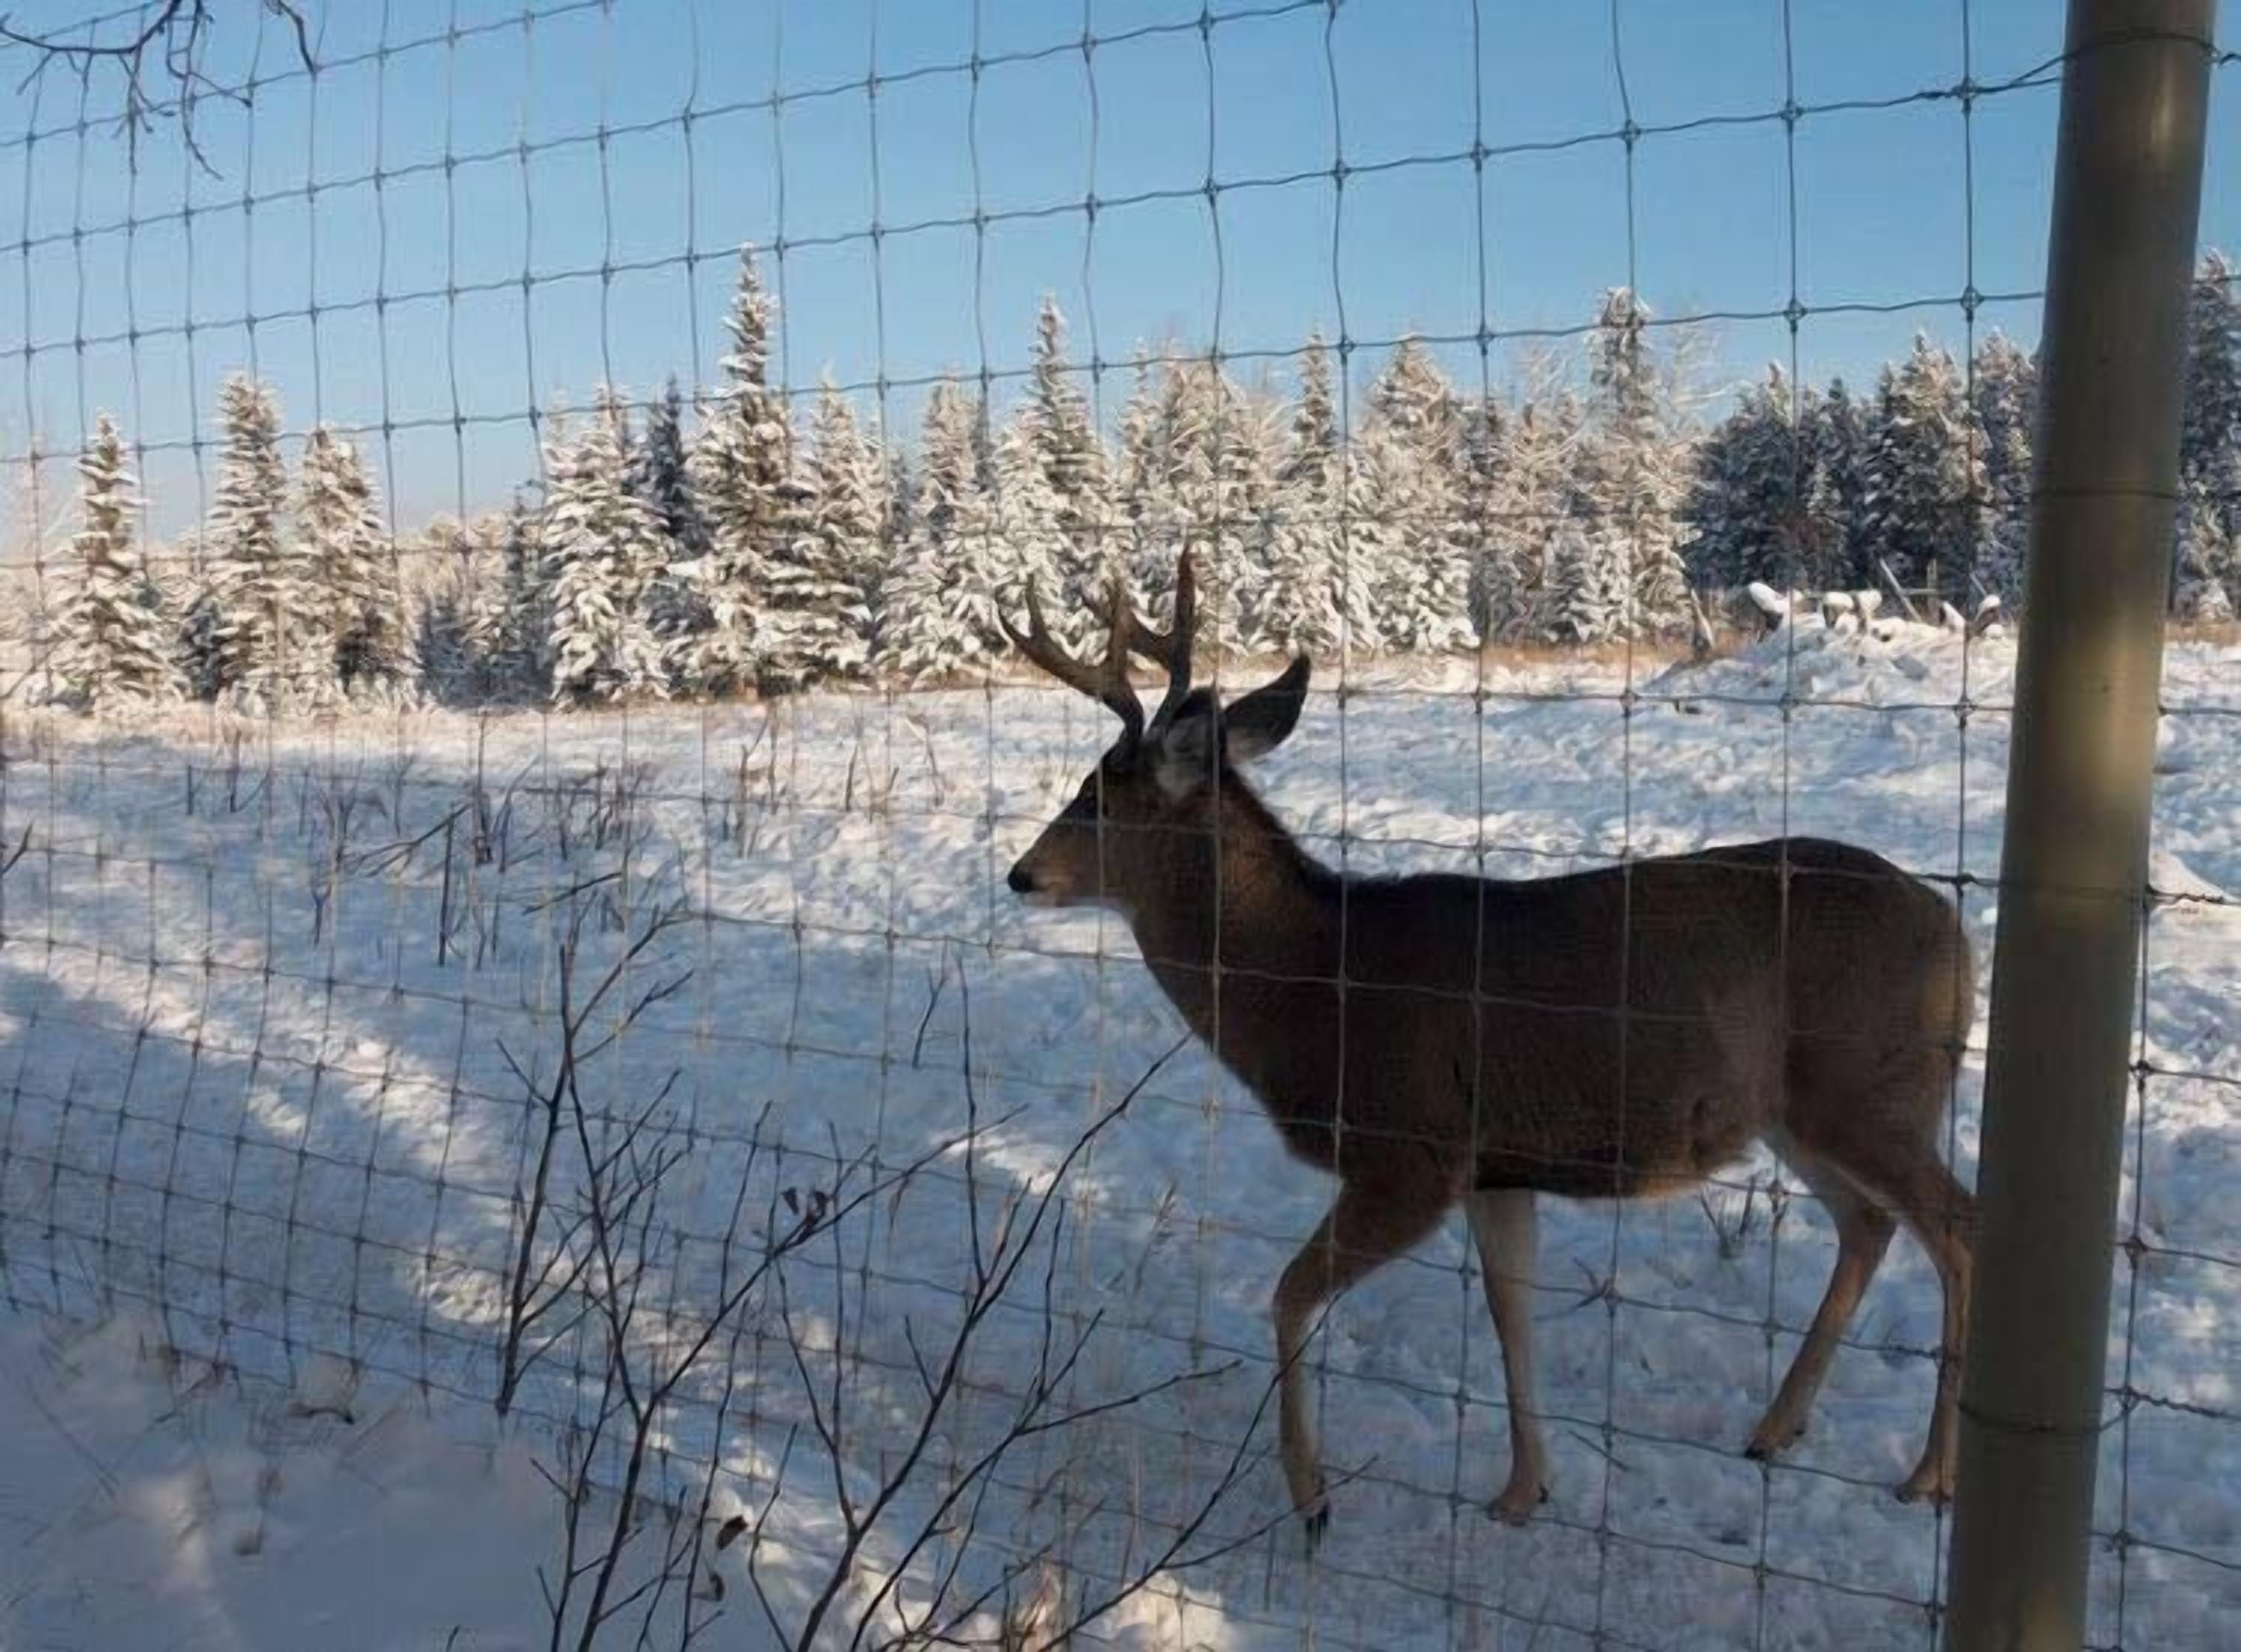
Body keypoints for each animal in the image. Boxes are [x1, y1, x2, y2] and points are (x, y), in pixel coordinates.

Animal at [1001, 549, 1978, 1543]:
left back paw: (1931, 1472)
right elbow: (1513, 1316)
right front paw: (1522, 1489)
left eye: (1097, 800)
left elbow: (1288, 1295)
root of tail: (1954, 927)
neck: (1316, 985)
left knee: (1957, 1226)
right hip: (1805, 1108)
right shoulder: (1496, 1166)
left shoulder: (1411, 1150)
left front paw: (1313, 1498)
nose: (1021, 874)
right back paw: (1775, 1427)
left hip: (1867, 1085)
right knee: (1869, 1222)